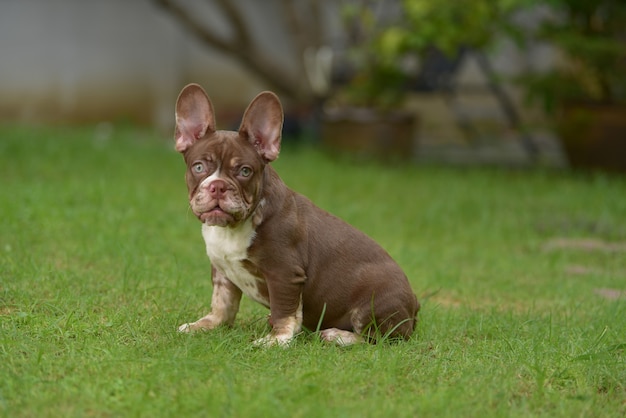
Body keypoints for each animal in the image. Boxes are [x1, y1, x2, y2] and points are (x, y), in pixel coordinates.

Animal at [174, 84, 420, 346]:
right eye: (199, 167)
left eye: (245, 171)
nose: (218, 186)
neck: (233, 227)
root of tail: (414, 305)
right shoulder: (222, 271)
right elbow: (222, 304)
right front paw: (206, 325)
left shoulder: (284, 273)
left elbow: (284, 311)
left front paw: (276, 340)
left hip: (373, 302)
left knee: (378, 339)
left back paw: (337, 335)